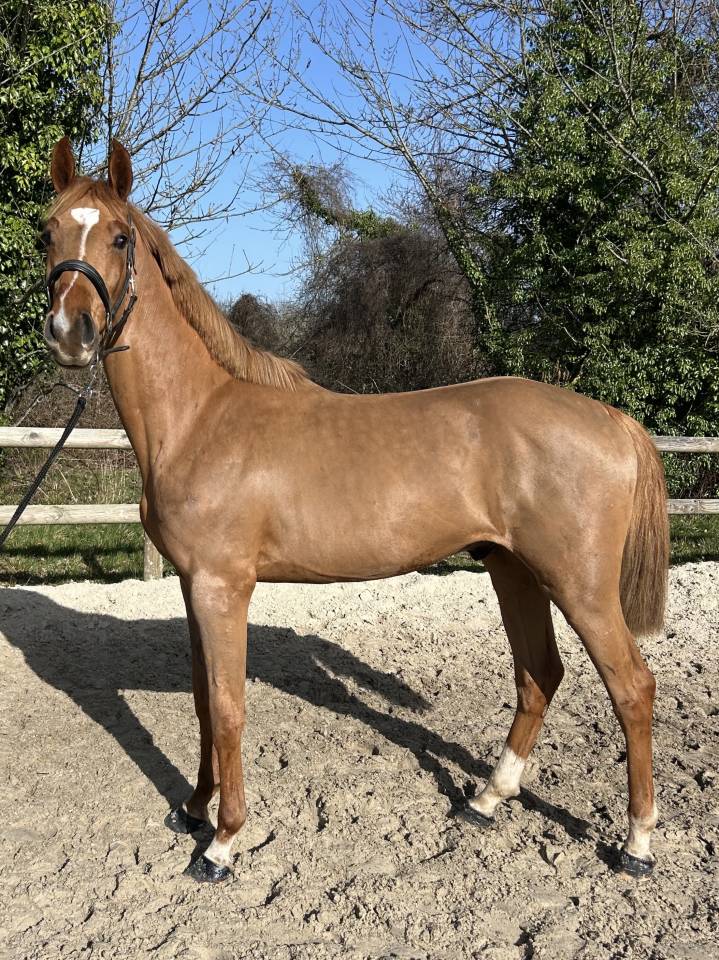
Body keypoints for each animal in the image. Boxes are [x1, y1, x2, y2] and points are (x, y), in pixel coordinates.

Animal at [40, 136, 669, 883]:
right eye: (47, 231)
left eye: (118, 236)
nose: (70, 332)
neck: (199, 418)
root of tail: (611, 419)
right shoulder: (195, 587)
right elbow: (200, 703)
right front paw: (192, 810)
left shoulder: (224, 587)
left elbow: (227, 707)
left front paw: (222, 842)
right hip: (512, 569)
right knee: (539, 675)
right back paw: (485, 800)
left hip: (581, 585)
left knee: (631, 687)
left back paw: (636, 843)